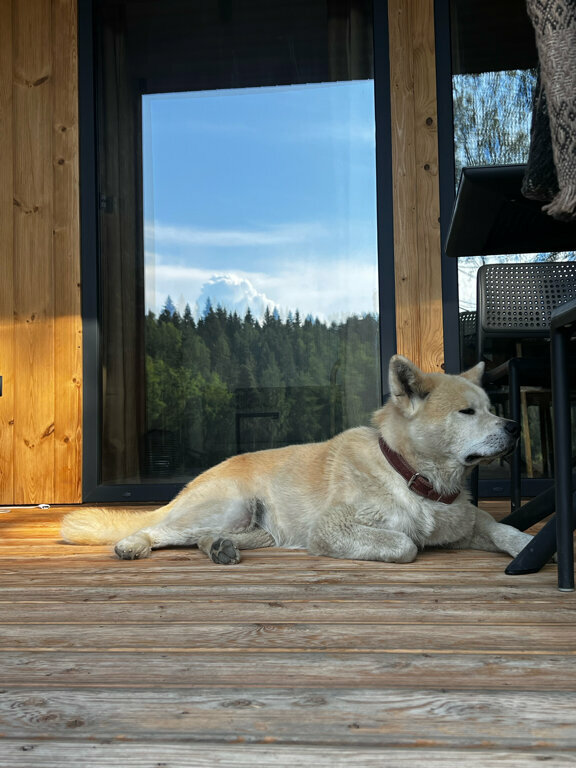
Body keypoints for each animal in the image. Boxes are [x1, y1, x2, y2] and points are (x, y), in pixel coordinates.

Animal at [61, 355, 533, 564]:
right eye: (467, 412)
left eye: (491, 408)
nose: (514, 427)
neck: (413, 475)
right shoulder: (333, 528)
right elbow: (405, 544)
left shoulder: (466, 524)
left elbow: (502, 527)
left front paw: (528, 547)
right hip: (229, 505)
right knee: (158, 529)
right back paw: (133, 544)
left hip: (258, 529)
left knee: (203, 538)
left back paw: (218, 548)